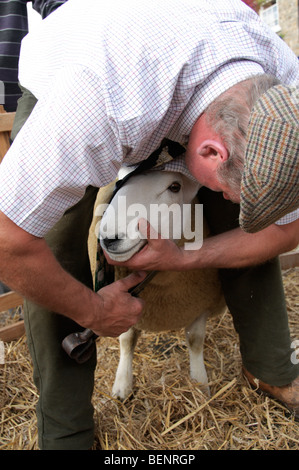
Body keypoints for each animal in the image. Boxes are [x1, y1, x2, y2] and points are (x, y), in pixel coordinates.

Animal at [92, 166, 226, 400]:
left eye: (175, 186)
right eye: (119, 181)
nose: (109, 238)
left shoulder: (201, 303)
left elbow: (195, 340)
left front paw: (200, 384)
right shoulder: (123, 302)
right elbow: (126, 339)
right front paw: (122, 384)